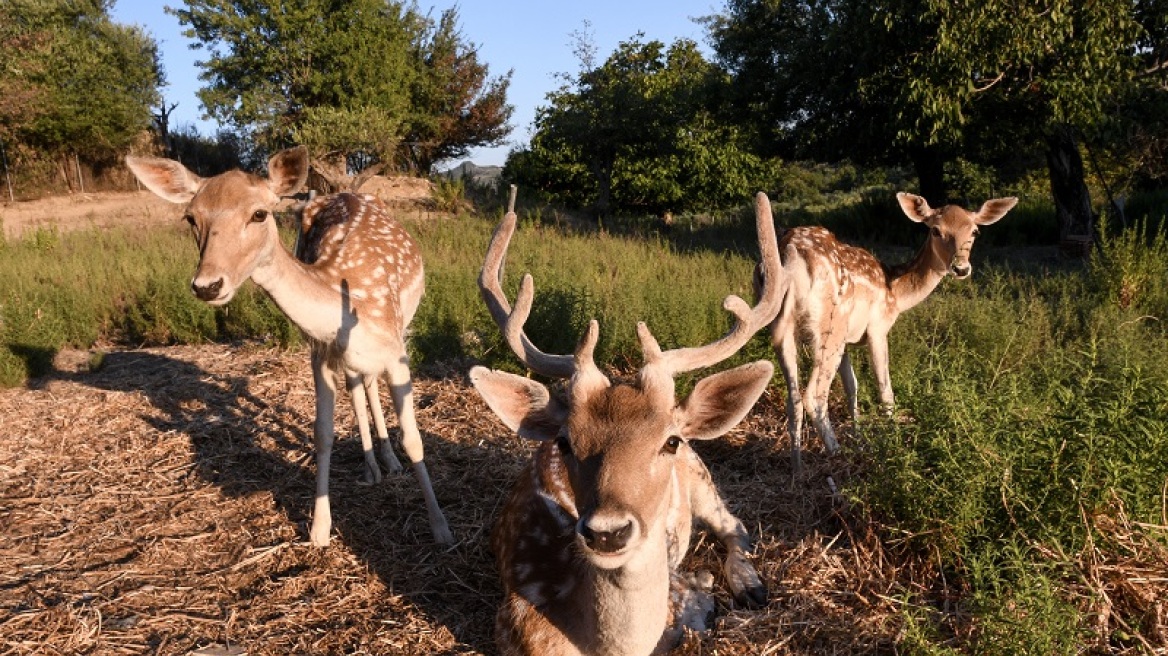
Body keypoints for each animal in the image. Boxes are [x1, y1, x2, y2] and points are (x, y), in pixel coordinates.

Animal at [125, 145, 453, 543]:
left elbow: (414, 439)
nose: (207, 285)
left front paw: (441, 527)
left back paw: (389, 463)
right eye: (190, 217)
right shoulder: (319, 354)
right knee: (359, 385)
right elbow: (323, 434)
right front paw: (319, 530)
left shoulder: (396, 350)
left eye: (259, 213)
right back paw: (374, 467)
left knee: (368, 384)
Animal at [467, 189, 784, 653]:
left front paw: (707, 592)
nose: (607, 532)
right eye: (564, 442)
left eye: (669, 441)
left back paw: (749, 584)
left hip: (701, 477)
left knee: (735, 526)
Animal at [761, 191, 1018, 466]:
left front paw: (860, 438)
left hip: (783, 326)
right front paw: (893, 445)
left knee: (794, 398)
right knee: (814, 394)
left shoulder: (848, 340)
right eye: (935, 230)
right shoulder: (877, 328)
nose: (961, 268)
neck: (896, 294)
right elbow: (885, 391)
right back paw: (837, 453)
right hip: (829, 326)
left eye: (974, 231)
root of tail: (792, 256)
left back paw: (796, 465)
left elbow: (852, 387)